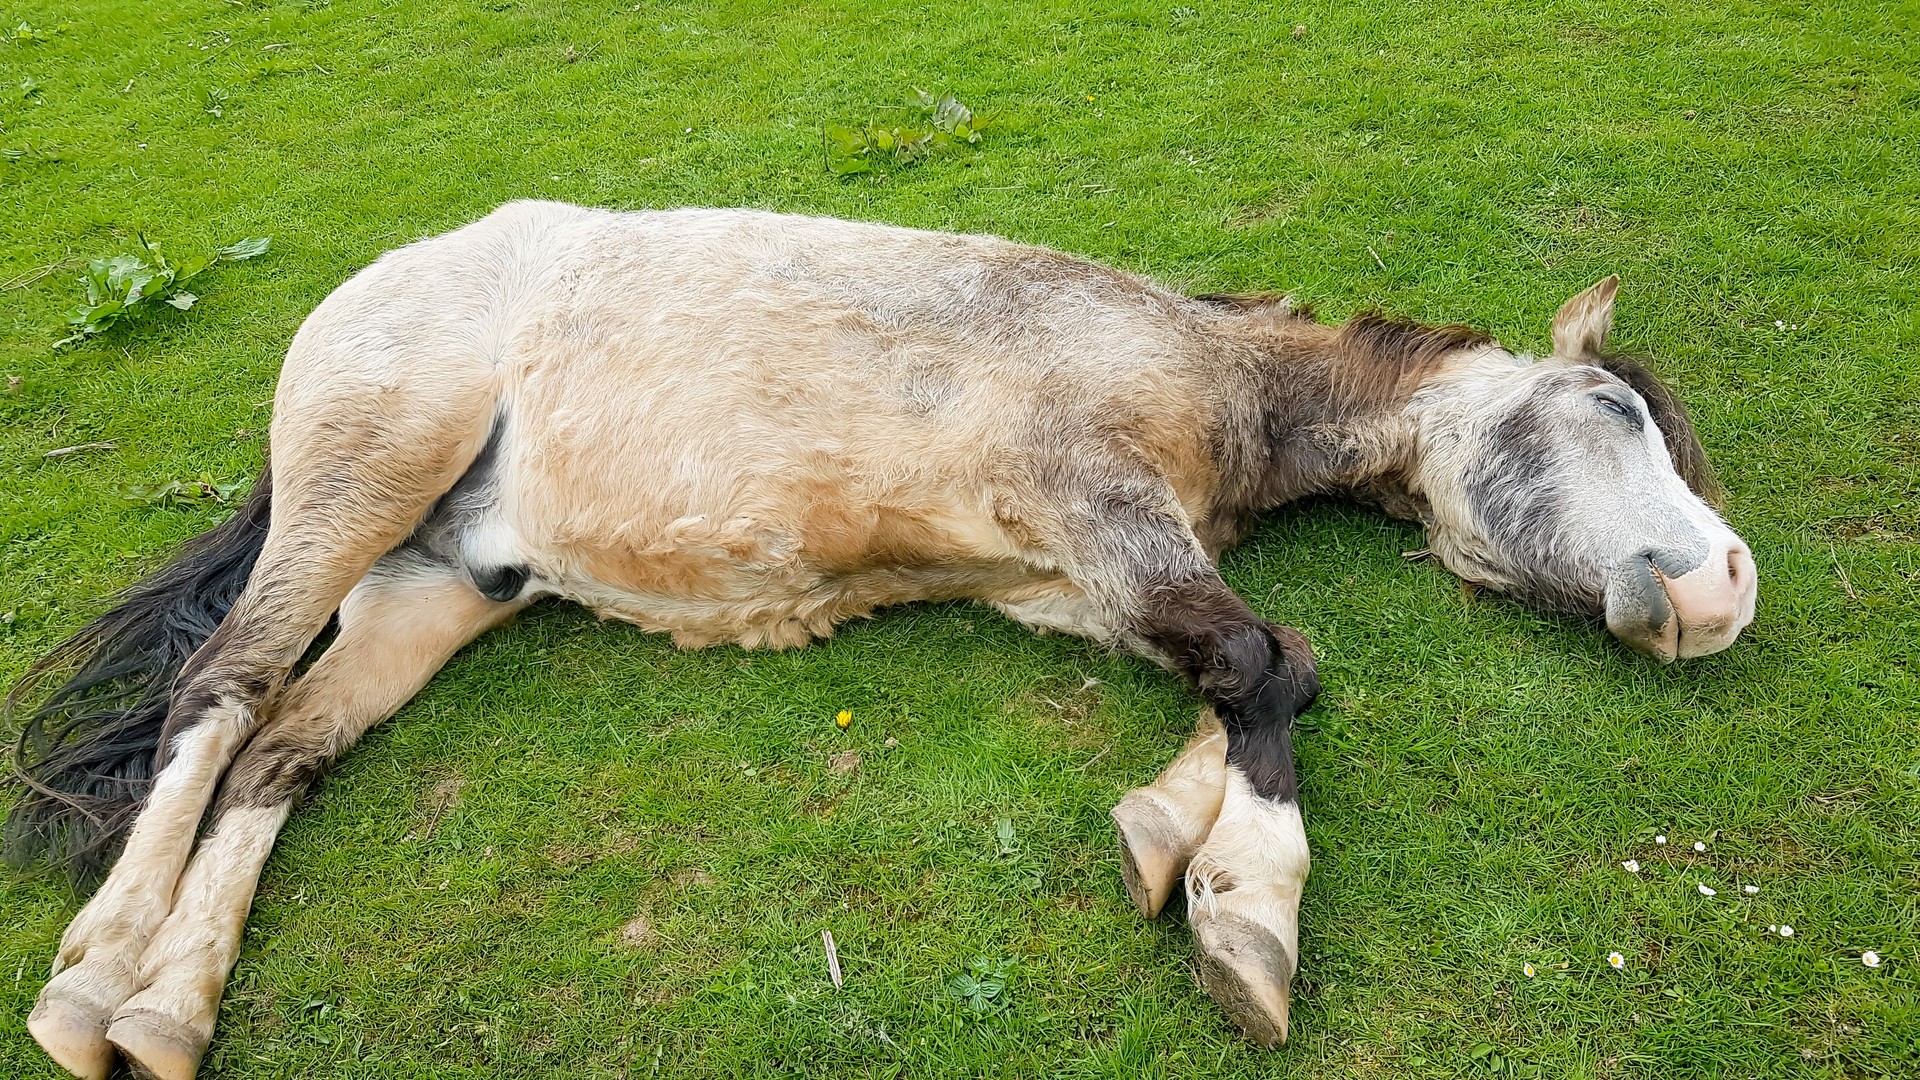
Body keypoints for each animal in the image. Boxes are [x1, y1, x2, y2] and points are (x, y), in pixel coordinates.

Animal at [3, 199, 1758, 1068]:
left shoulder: (1081, 574)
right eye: (1612, 411)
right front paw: (1250, 910)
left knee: (277, 754)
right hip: (358, 485)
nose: (1724, 591)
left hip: (436, 588)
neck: (1196, 367)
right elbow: (1275, 666)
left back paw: (165, 1007)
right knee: (221, 690)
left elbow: (1241, 674)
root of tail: (371, 289)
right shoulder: (1100, 507)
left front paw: (1171, 834)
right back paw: (98, 975)